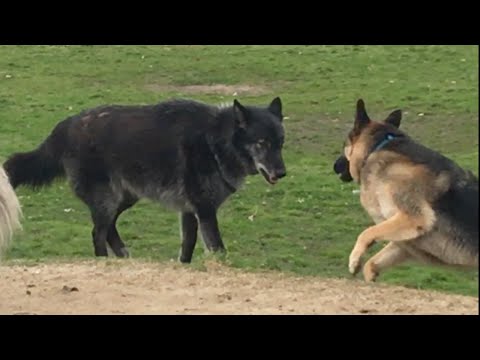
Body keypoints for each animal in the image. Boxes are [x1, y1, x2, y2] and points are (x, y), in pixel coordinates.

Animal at [3, 97, 284, 262]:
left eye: (280, 143)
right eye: (262, 143)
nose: (282, 173)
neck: (215, 141)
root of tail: (65, 125)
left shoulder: (189, 211)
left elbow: (187, 246)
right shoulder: (205, 210)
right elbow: (218, 250)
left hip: (125, 198)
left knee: (109, 228)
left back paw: (123, 256)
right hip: (109, 200)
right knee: (97, 232)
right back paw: (104, 262)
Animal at [334, 100, 476, 282]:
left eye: (344, 145)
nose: (334, 165)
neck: (377, 148)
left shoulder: (413, 217)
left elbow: (366, 232)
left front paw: (354, 261)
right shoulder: (405, 243)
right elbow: (373, 263)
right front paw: (370, 277)